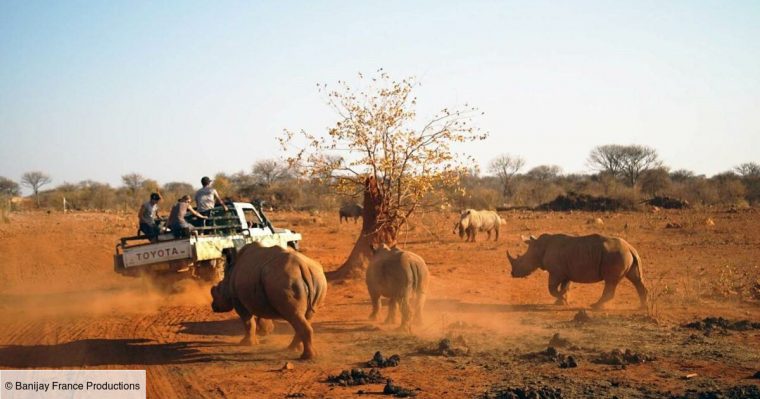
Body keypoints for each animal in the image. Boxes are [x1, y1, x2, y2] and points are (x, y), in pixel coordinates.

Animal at [508, 233, 652, 310]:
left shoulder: (556, 272)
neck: (539, 247)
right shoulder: (565, 272)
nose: (512, 274)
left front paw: (562, 299)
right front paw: (561, 301)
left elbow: (552, 288)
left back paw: (595, 306)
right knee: (636, 279)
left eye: (522, 260)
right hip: (626, 255)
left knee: (610, 281)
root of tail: (630, 248)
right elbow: (564, 286)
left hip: (616, 255)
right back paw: (642, 307)